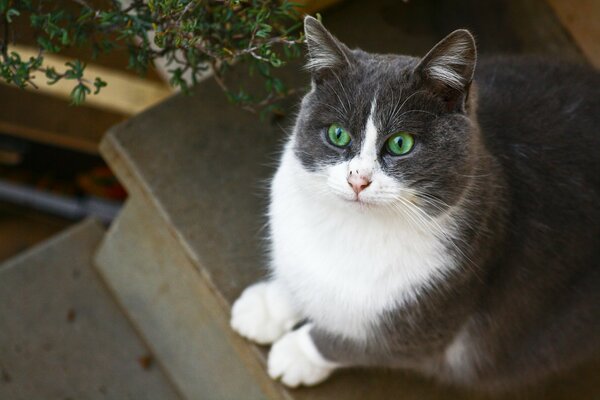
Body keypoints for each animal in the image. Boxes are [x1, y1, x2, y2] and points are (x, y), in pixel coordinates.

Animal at [230, 16, 600, 390]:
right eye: (337, 134)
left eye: (401, 143)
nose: (357, 180)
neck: (354, 229)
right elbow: (299, 279)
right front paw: (266, 306)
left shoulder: (428, 320)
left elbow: (349, 343)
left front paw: (296, 354)